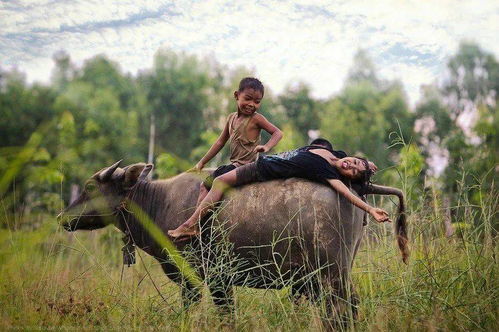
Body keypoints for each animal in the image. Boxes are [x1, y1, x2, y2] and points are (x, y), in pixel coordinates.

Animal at [58, 161, 410, 324]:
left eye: (90, 186)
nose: (63, 217)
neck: (160, 203)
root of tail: (356, 187)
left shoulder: (203, 280)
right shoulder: (218, 282)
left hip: (331, 273)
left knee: (340, 311)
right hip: (335, 272)